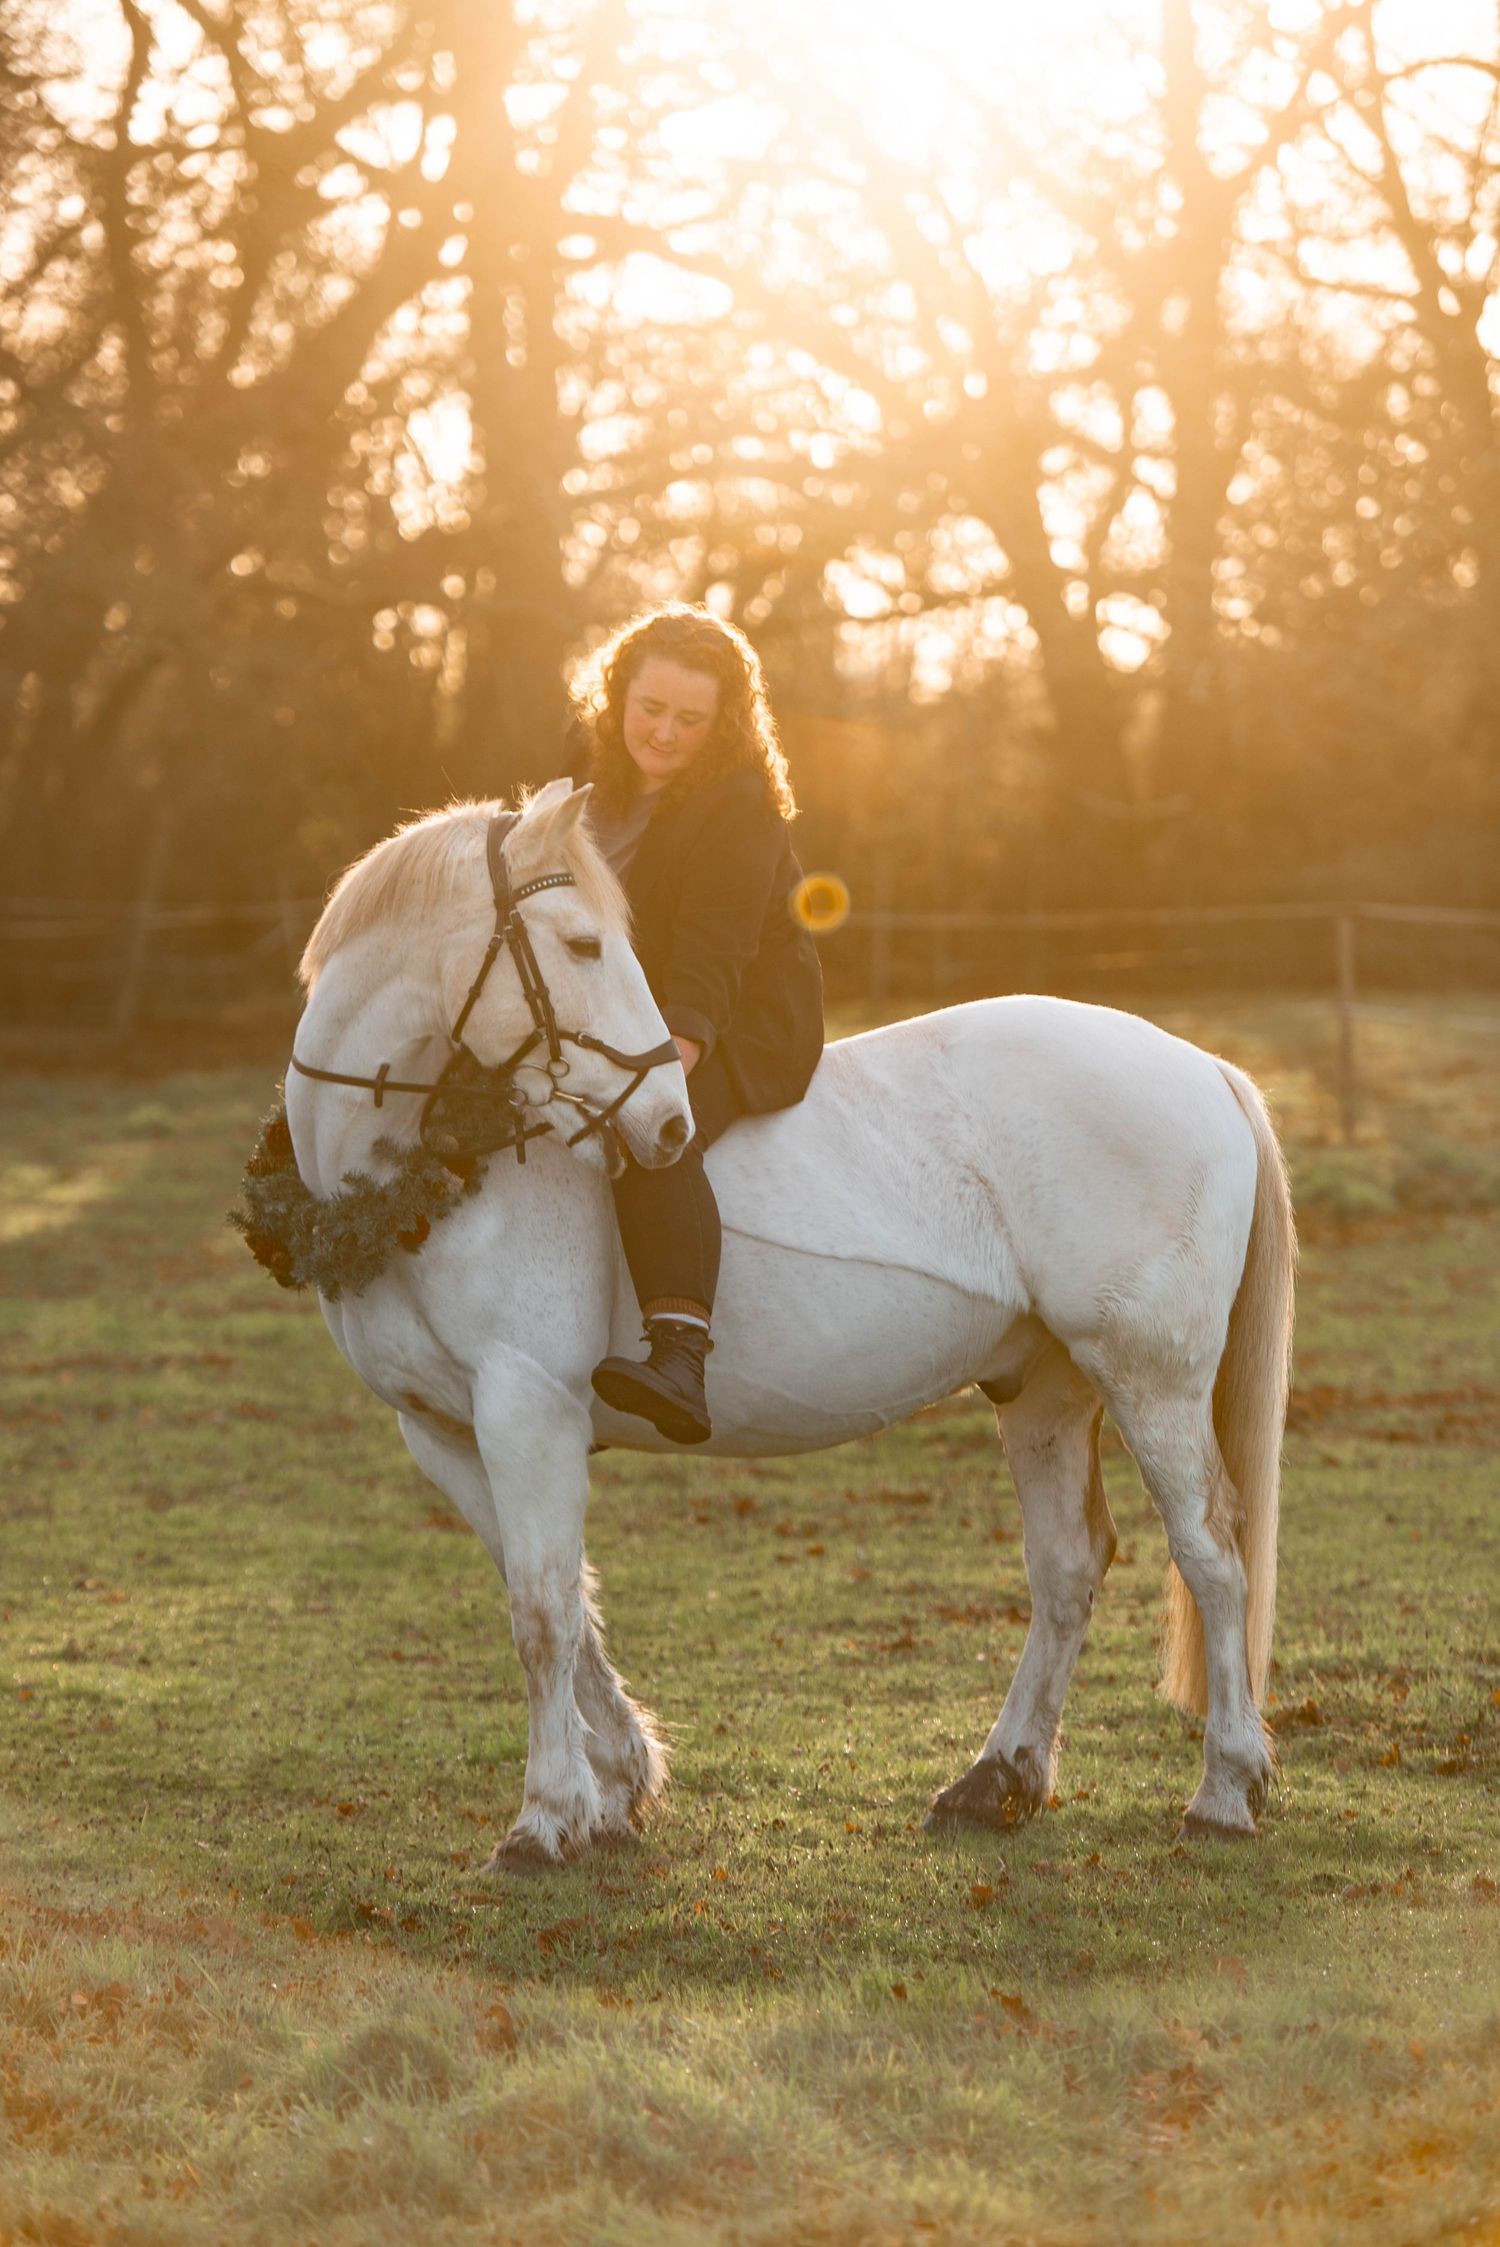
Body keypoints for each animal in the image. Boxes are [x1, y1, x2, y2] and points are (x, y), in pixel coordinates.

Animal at [284, 779, 1295, 1872]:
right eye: (585, 944)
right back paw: (998, 1781)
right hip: (1047, 1384)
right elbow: (562, 1598)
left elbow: (543, 1612)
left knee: (1212, 1555)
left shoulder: (527, 1412)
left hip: (1150, 1379)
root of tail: (1206, 1067)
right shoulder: (443, 1431)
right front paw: (621, 1786)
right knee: (1068, 1564)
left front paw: (548, 1817)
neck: (412, 1181)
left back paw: (1224, 1790)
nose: (668, 1122)